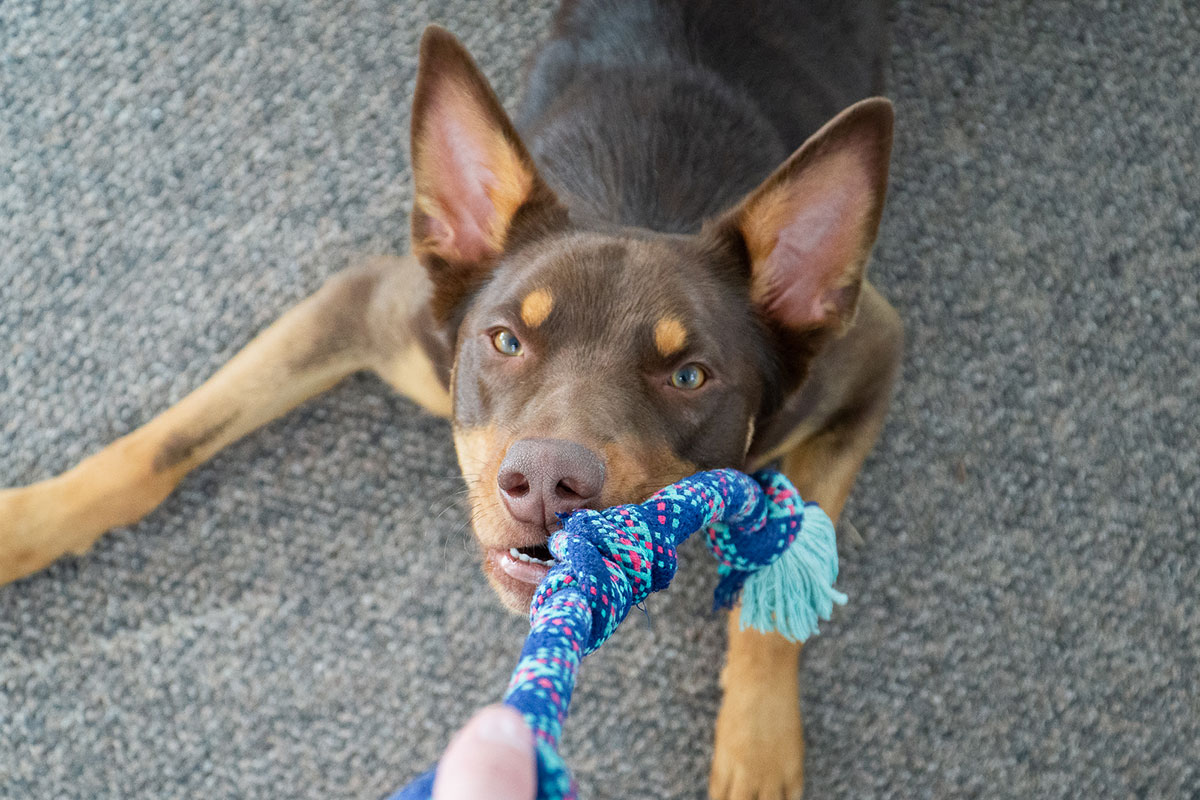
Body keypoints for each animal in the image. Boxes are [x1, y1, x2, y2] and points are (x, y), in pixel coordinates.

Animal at [0, 3, 902, 796]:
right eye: (504, 340)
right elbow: (161, 446)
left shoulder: (871, 355)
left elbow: (775, 591)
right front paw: (27, 525)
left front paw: (758, 747)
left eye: (689, 377)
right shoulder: (370, 309)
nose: (545, 485)